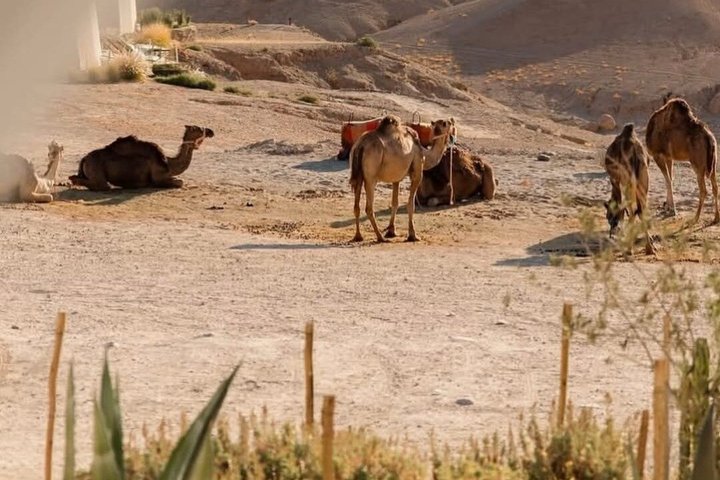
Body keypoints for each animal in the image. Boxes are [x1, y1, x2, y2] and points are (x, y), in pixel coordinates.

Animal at [69, 125, 214, 191]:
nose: (211, 131)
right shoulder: (159, 178)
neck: (169, 163)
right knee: (103, 185)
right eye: (198, 128)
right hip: (97, 172)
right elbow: (180, 182)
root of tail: (84, 158)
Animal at [603, 123, 655, 255]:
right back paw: (649, 248)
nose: (612, 231)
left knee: (632, 210)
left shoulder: (615, 180)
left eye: (608, 215)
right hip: (643, 181)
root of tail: (635, 153)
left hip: (628, 181)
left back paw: (629, 249)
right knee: (642, 209)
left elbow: (620, 205)